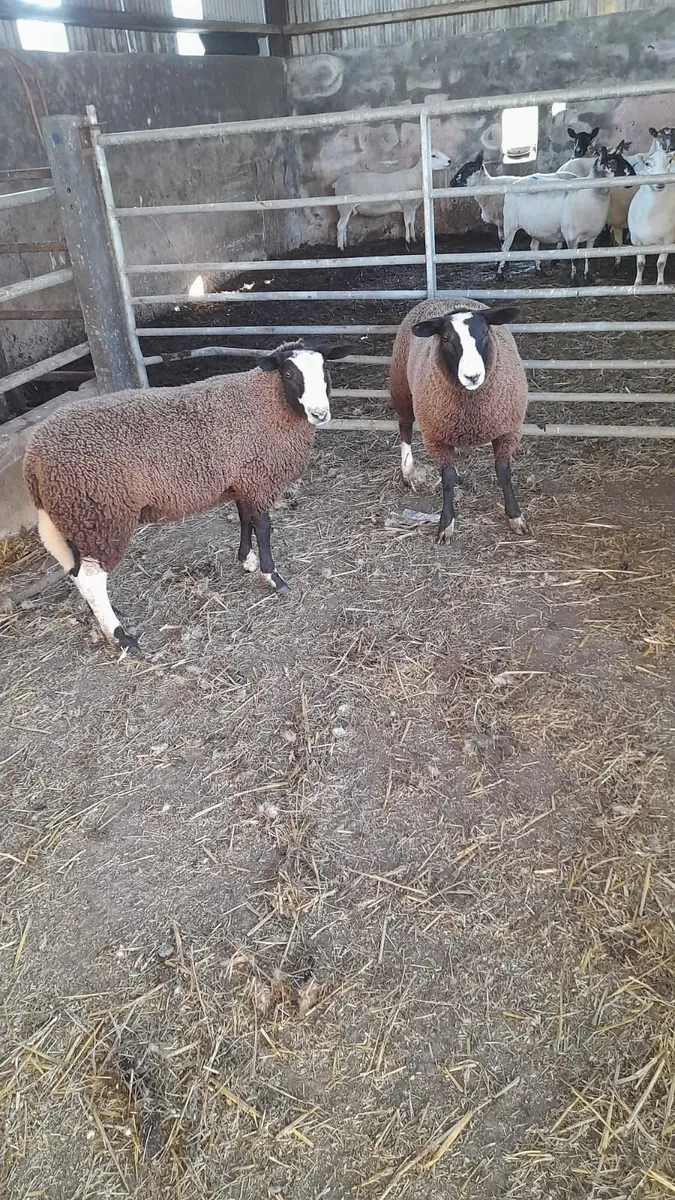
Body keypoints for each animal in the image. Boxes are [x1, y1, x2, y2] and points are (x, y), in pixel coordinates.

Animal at [23, 340, 352, 653]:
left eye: (324, 370)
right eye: (289, 374)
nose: (320, 414)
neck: (265, 401)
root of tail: (33, 458)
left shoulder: (243, 479)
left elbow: (244, 519)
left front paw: (246, 560)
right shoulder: (259, 480)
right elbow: (263, 527)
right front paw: (272, 577)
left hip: (75, 515)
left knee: (77, 572)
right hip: (102, 515)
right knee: (90, 578)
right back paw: (122, 638)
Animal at [389, 298, 527, 542]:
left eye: (485, 332)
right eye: (446, 339)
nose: (472, 376)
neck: (471, 410)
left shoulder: (507, 430)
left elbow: (503, 473)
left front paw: (515, 517)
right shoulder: (436, 437)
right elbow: (447, 479)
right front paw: (446, 525)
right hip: (401, 387)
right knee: (405, 426)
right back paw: (407, 471)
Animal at [628, 147, 675, 286]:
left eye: (669, 161)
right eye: (647, 163)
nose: (660, 183)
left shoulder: (668, 240)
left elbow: (660, 263)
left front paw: (660, 283)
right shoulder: (637, 241)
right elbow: (640, 264)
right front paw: (637, 283)